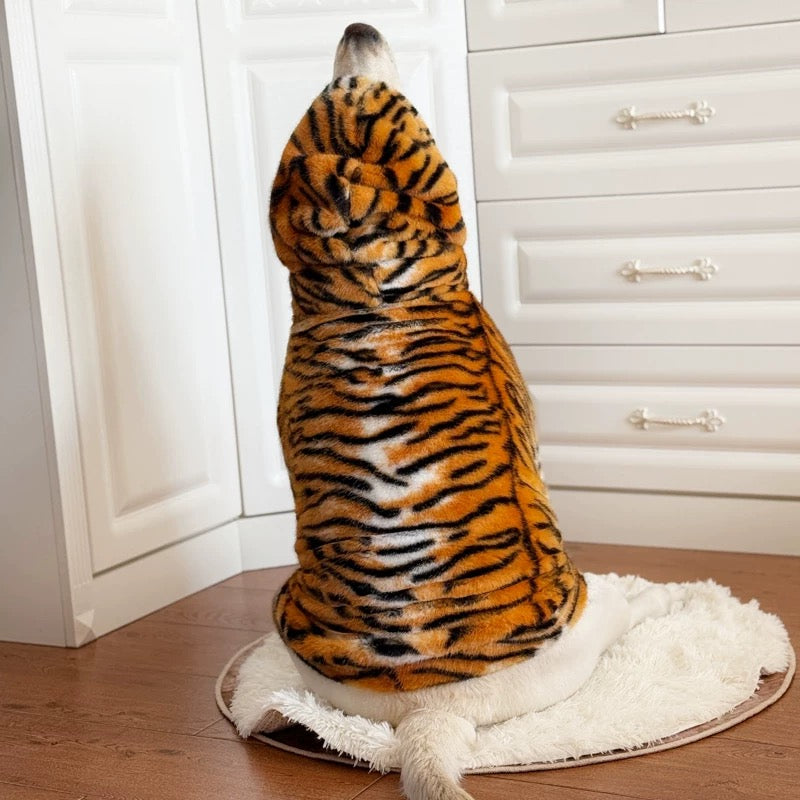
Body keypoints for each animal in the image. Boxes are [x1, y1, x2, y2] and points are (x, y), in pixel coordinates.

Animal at [268, 22, 675, 800]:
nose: (359, 26)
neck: (367, 294)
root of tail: (429, 710)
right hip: (587, 611)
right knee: (623, 609)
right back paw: (659, 601)